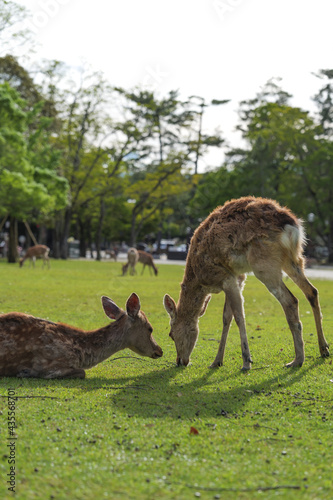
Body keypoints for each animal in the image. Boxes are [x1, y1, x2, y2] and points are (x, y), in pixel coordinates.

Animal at [0, 292, 163, 376]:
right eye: (150, 328)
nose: (159, 350)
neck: (80, 352)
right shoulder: (50, 363)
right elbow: (82, 373)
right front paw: (25, 372)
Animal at [163, 197, 326, 370]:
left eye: (171, 334)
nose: (180, 361)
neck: (200, 280)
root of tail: (292, 225)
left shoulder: (226, 278)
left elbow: (239, 316)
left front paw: (247, 361)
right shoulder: (237, 277)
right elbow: (226, 317)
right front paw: (216, 361)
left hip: (264, 265)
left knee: (291, 300)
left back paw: (297, 360)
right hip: (293, 259)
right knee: (312, 291)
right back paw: (323, 349)